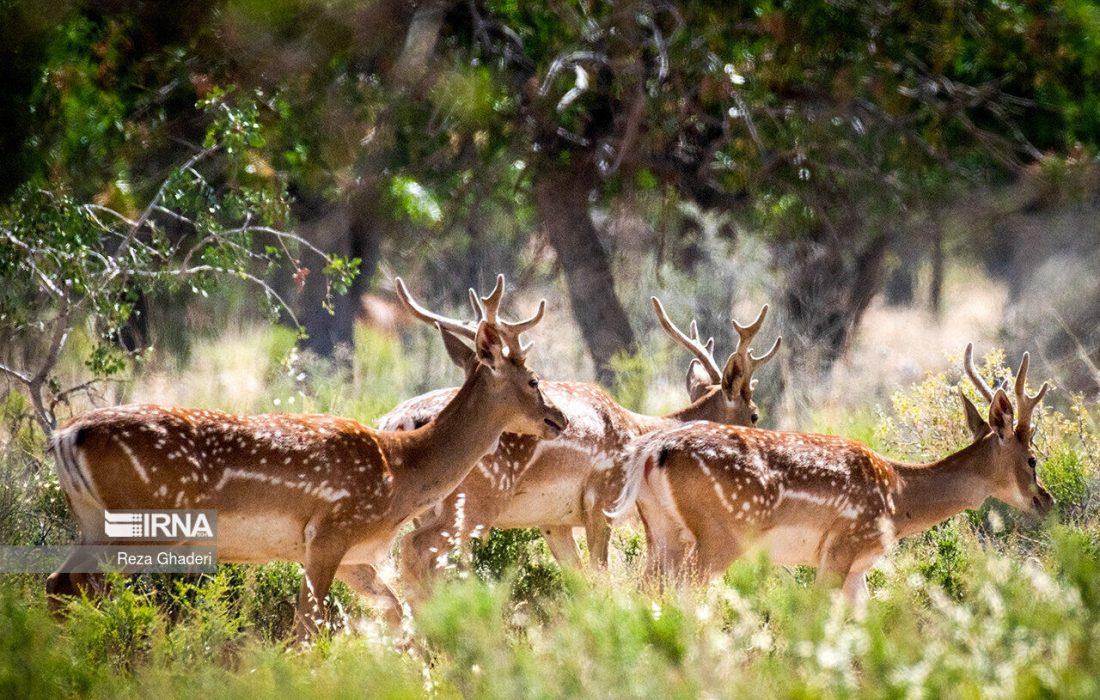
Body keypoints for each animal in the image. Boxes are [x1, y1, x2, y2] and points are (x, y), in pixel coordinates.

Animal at [42, 275, 567, 638]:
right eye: (534, 379)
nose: (559, 418)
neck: (399, 475)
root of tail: (68, 435)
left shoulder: (355, 555)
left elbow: (393, 611)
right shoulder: (331, 531)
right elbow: (307, 628)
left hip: (91, 521)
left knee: (57, 583)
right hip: (139, 521)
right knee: (79, 585)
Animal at [378, 292, 783, 598]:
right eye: (755, 415)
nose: (762, 444)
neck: (639, 429)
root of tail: (392, 422)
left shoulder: (554, 522)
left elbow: (579, 580)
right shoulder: (602, 499)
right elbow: (601, 576)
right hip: (474, 499)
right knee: (419, 553)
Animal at [611, 345, 1056, 603]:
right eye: (1033, 458)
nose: (1046, 500)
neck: (900, 498)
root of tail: (652, 450)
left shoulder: (859, 567)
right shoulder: (842, 545)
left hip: (662, 532)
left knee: (643, 591)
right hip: (721, 532)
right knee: (683, 595)